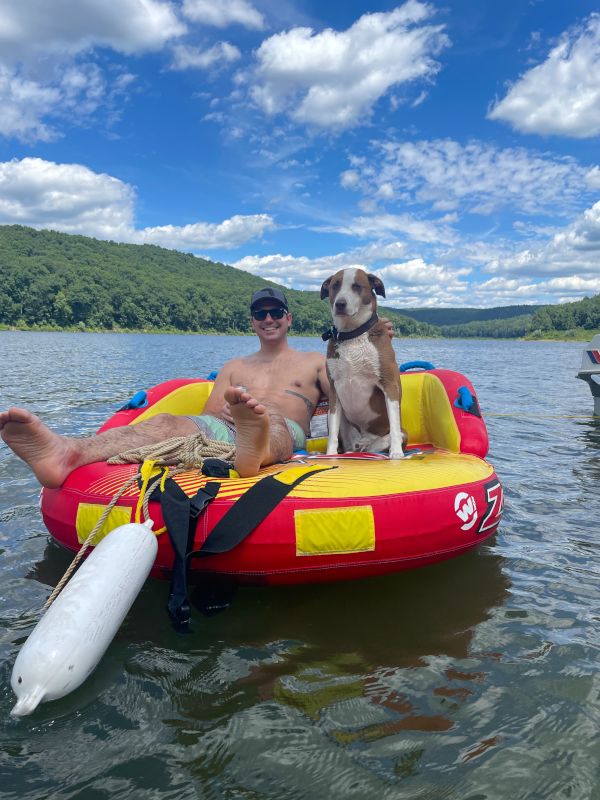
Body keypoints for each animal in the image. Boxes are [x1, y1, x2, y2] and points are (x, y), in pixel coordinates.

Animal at [322, 268, 406, 460]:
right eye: (335, 285)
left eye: (356, 286)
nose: (340, 304)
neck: (352, 335)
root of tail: (361, 444)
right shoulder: (334, 389)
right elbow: (332, 433)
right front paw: (330, 454)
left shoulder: (389, 383)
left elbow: (394, 423)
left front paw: (396, 452)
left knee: (384, 441)